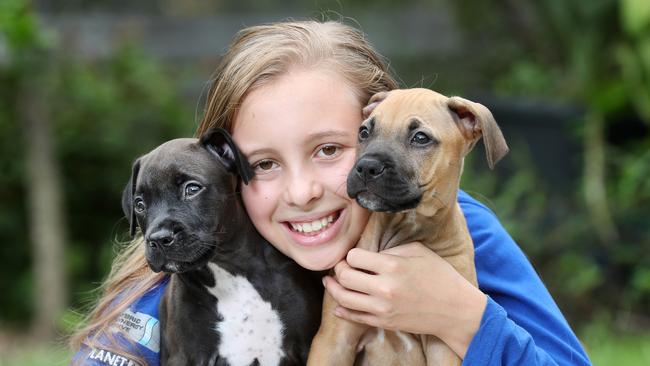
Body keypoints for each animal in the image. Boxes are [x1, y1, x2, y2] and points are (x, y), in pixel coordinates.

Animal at [121, 129, 322, 366]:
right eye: (139, 204)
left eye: (192, 189)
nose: (159, 239)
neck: (229, 270)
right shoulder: (186, 356)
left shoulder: (305, 345)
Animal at [306, 88, 508, 366]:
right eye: (364, 132)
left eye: (420, 138)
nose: (366, 167)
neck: (402, 227)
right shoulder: (335, 339)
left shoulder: (443, 346)